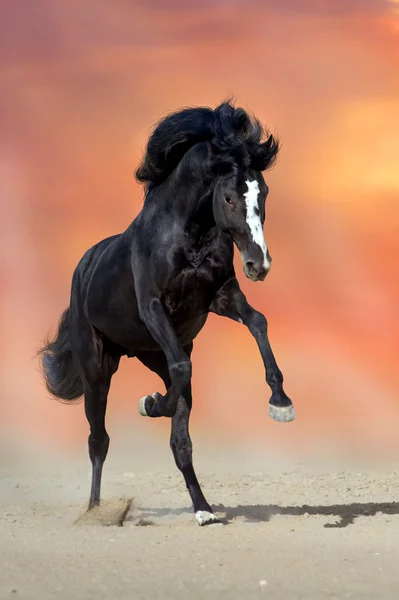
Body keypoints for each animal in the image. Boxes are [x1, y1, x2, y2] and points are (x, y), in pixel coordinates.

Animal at [39, 101, 296, 528]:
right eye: (229, 198)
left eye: (264, 193)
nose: (259, 264)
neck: (186, 234)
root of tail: (84, 268)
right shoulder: (154, 308)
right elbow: (180, 369)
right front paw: (150, 403)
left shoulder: (221, 297)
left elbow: (257, 322)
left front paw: (281, 402)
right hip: (97, 369)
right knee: (99, 439)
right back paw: (96, 512)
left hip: (150, 354)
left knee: (180, 439)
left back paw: (204, 510)